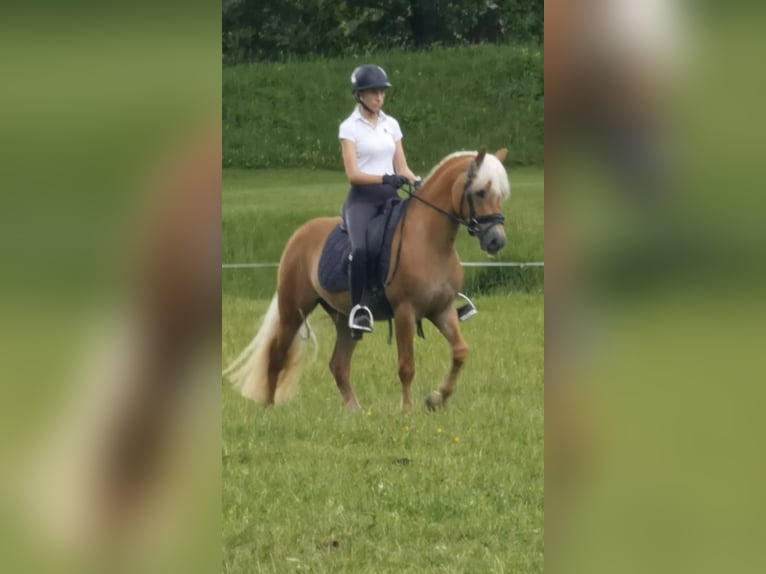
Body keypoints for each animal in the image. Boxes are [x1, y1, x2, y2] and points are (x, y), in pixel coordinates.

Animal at [225, 148, 511, 411]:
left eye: (500, 195)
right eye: (481, 192)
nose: (497, 241)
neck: (429, 241)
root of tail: (300, 234)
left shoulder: (442, 309)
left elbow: (460, 352)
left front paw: (435, 399)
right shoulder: (405, 311)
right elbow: (406, 366)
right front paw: (407, 411)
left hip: (344, 318)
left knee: (338, 364)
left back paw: (356, 412)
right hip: (293, 308)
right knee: (277, 355)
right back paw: (269, 409)